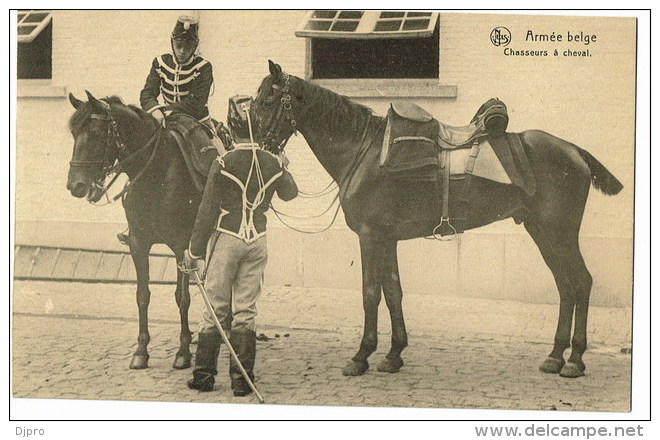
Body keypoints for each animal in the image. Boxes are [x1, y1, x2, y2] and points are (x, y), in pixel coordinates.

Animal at [65, 93, 219, 372]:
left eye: (95, 133)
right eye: (73, 133)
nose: (75, 185)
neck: (156, 173)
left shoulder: (181, 245)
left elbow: (182, 297)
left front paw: (182, 353)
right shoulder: (138, 244)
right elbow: (142, 296)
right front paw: (141, 351)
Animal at [251, 61, 624, 378]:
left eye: (268, 100)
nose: (255, 144)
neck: (364, 150)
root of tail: (574, 150)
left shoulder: (370, 235)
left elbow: (371, 293)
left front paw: (361, 356)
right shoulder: (387, 237)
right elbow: (393, 291)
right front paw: (393, 355)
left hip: (559, 232)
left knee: (581, 282)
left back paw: (575, 360)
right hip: (542, 231)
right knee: (565, 284)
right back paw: (556, 356)